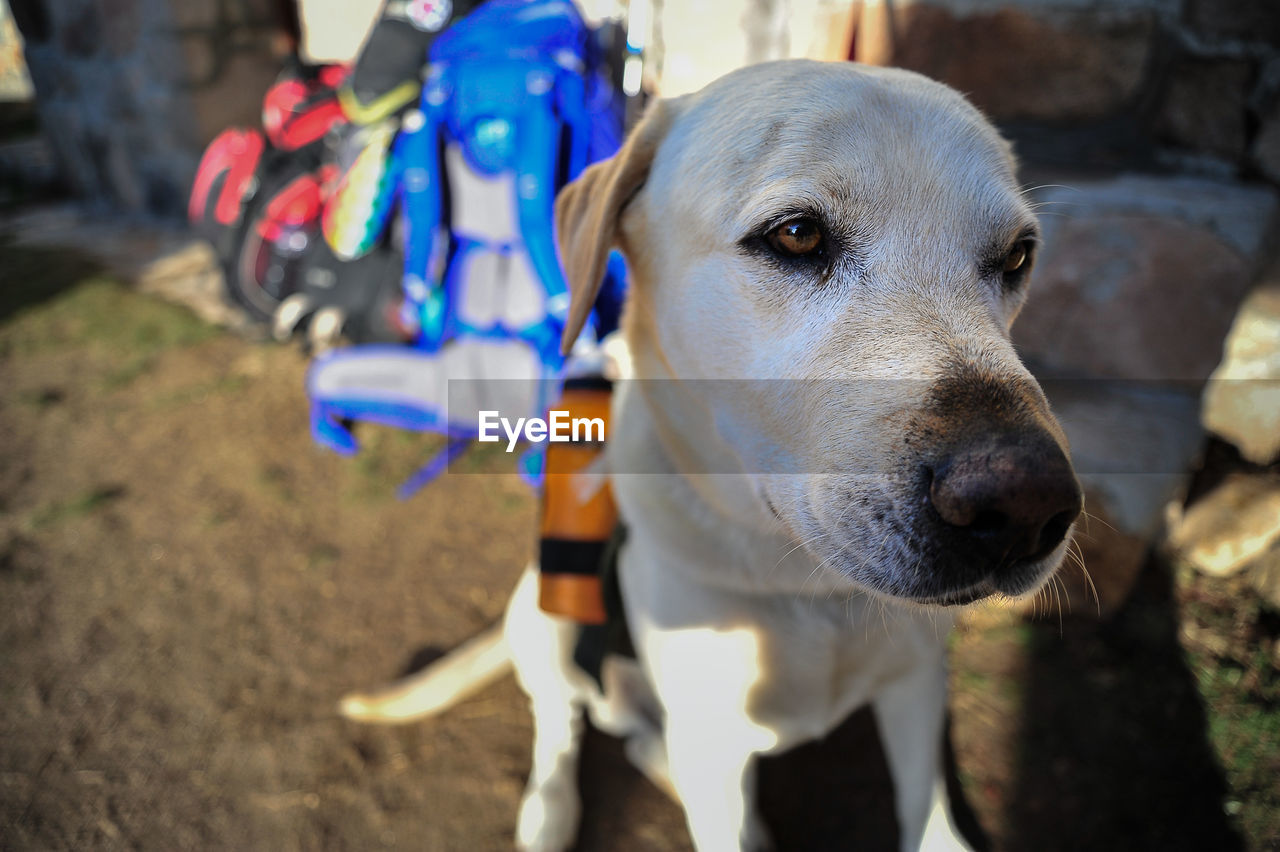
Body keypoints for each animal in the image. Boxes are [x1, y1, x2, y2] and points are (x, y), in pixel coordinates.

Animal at [340, 59, 1080, 849]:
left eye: (1018, 256)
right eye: (796, 235)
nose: (1025, 505)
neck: (804, 591)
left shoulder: (916, 685)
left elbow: (928, 810)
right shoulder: (714, 743)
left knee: (642, 742)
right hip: (545, 619)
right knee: (562, 720)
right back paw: (550, 809)